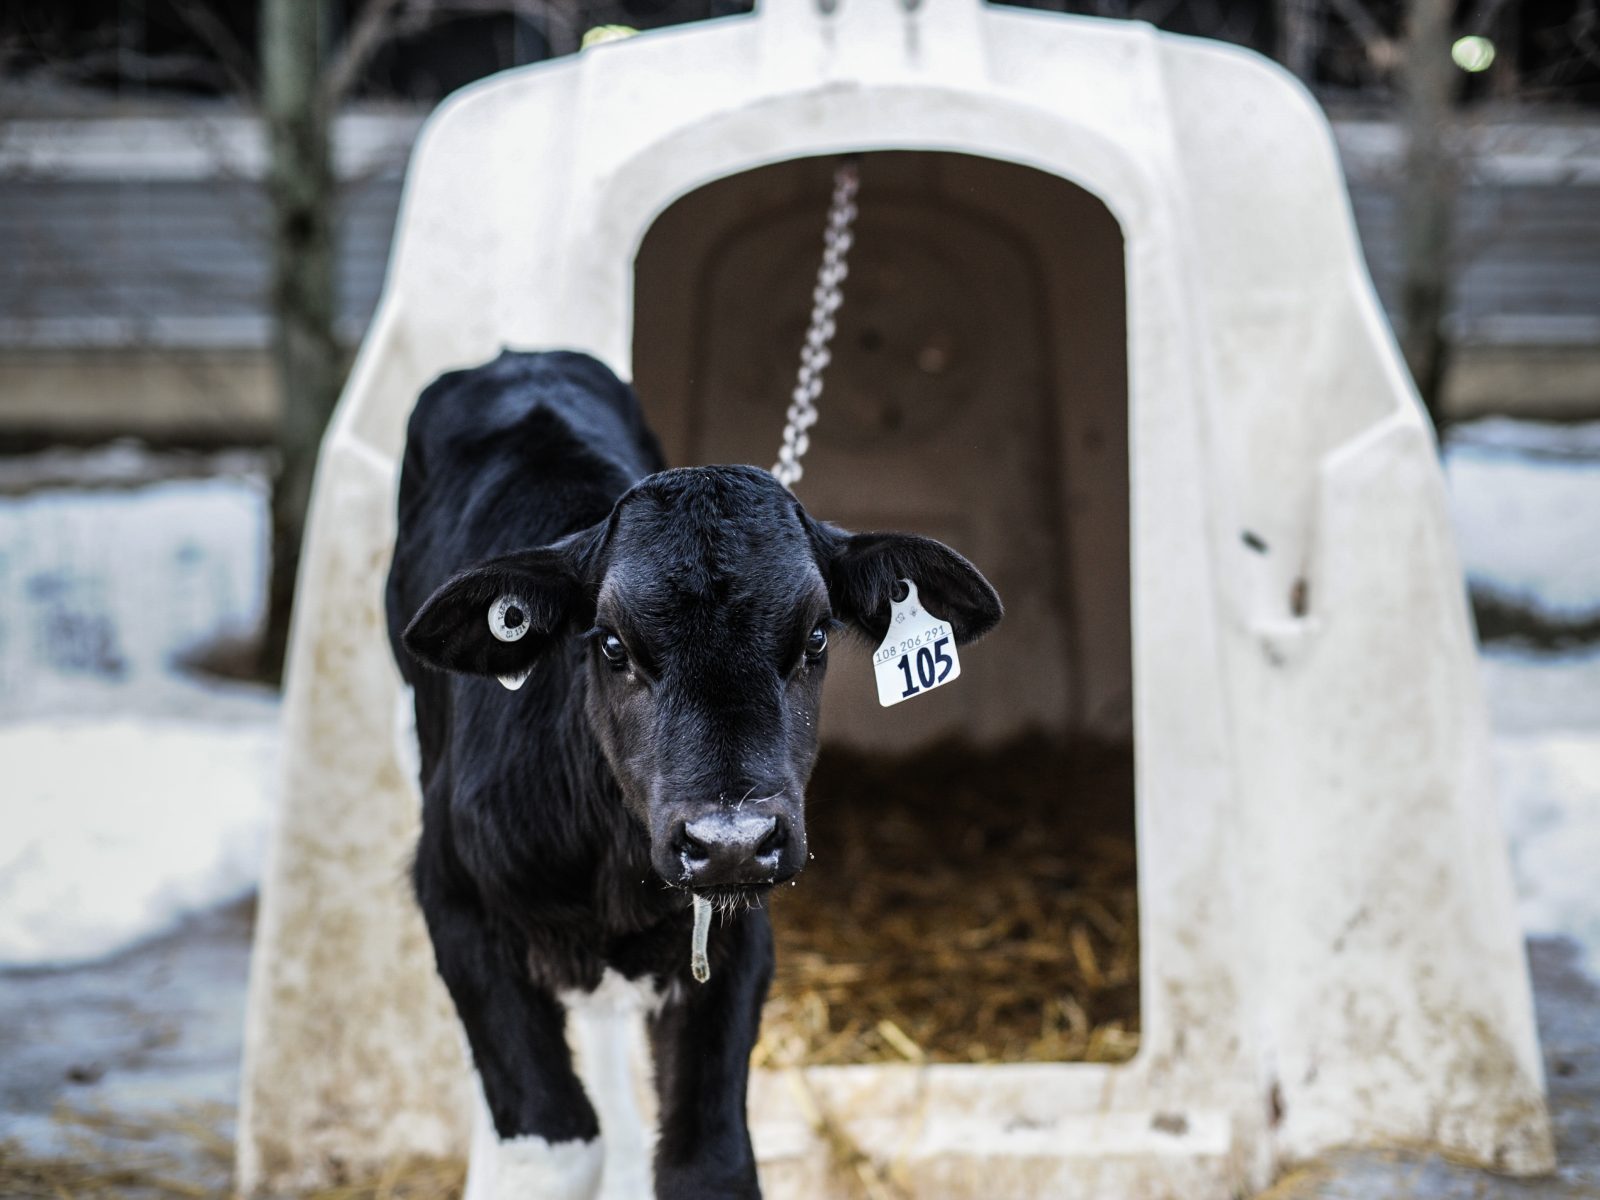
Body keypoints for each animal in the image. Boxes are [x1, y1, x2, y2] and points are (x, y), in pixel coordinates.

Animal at [386, 349, 1001, 1199]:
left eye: (817, 636)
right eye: (612, 644)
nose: (732, 840)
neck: (612, 860)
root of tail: (521, 359)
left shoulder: (736, 938)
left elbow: (706, 1161)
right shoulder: (453, 896)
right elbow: (550, 1144)